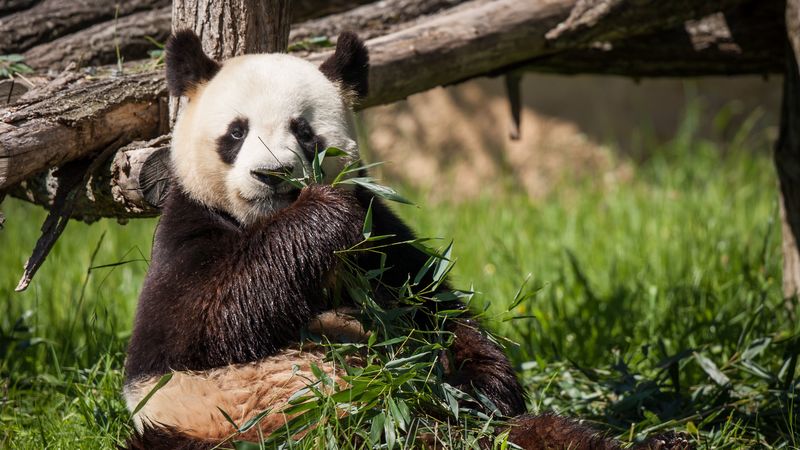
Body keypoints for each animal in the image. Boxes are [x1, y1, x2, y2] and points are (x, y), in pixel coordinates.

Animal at [122, 30, 692, 450]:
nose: (273, 175)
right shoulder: (185, 234)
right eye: (236, 132)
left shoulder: (382, 241)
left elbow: (436, 306)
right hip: (225, 431)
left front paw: (489, 383)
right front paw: (321, 213)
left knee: (540, 433)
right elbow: (204, 321)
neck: (259, 221)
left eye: (304, 131)